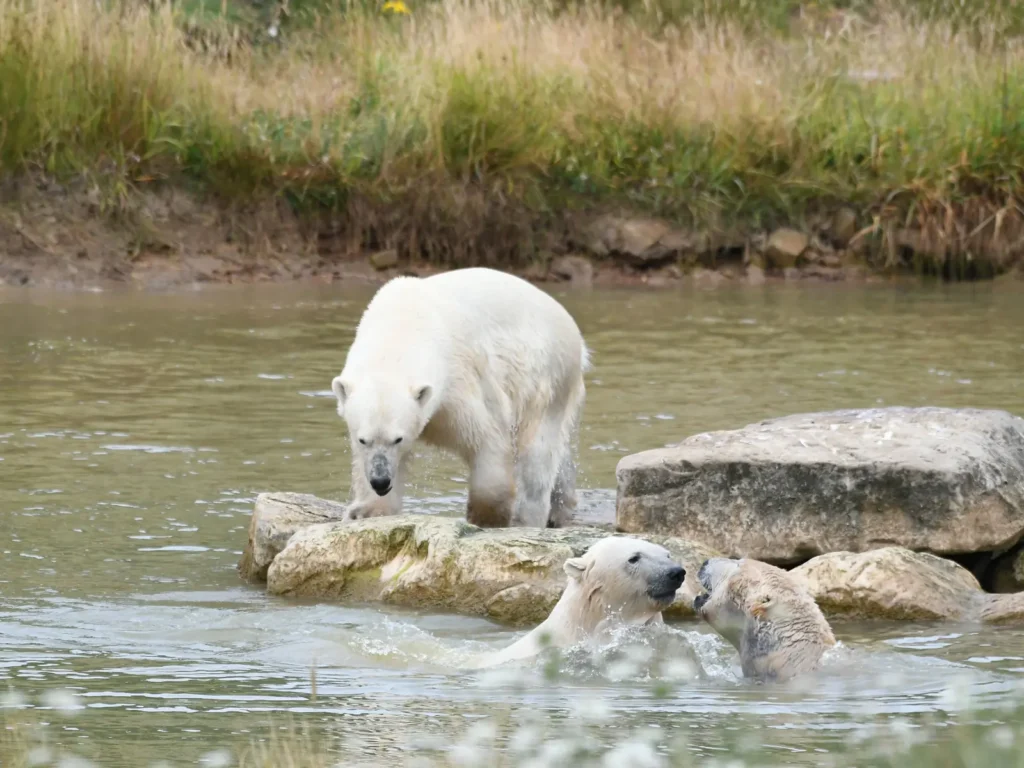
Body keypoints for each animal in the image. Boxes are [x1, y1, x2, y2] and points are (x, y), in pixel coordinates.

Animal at [331, 267, 589, 529]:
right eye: (363, 440)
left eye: (398, 439)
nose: (380, 481)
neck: (403, 325)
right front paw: (366, 511)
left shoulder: (461, 381)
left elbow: (487, 439)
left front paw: (486, 518)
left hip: (548, 376)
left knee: (538, 453)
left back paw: (527, 518)